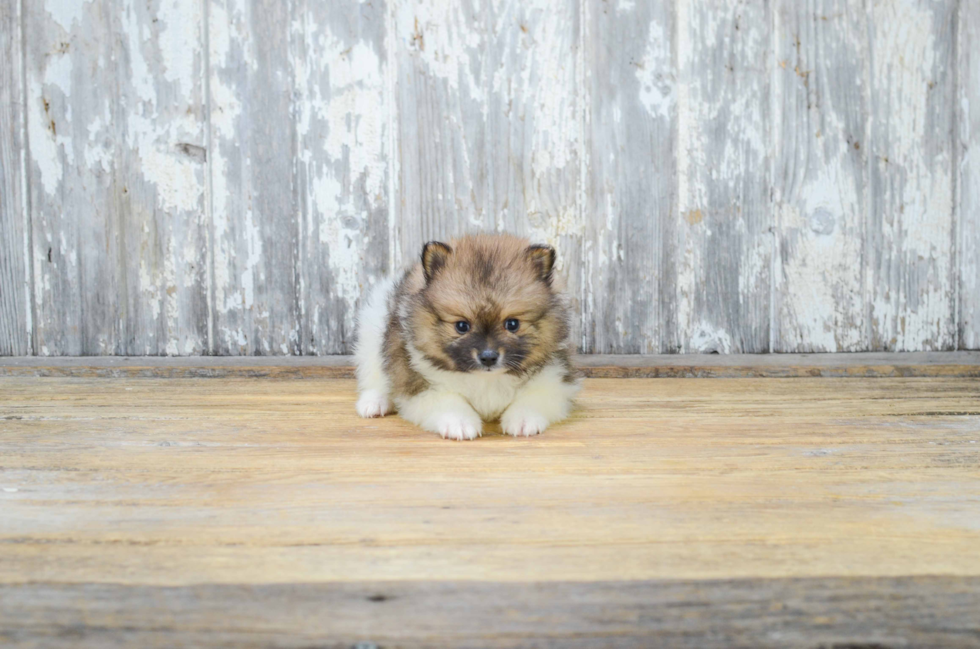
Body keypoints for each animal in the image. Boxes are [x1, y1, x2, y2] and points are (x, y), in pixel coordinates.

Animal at [354, 233, 580, 440]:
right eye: (462, 326)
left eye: (512, 324)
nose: (488, 357)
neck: (486, 379)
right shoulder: (420, 384)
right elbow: (448, 401)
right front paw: (460, 423)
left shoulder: (555, 379)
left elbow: (533, 398)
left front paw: (523, 420)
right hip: (372, 333)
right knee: (376, 376)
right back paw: (374, 403)